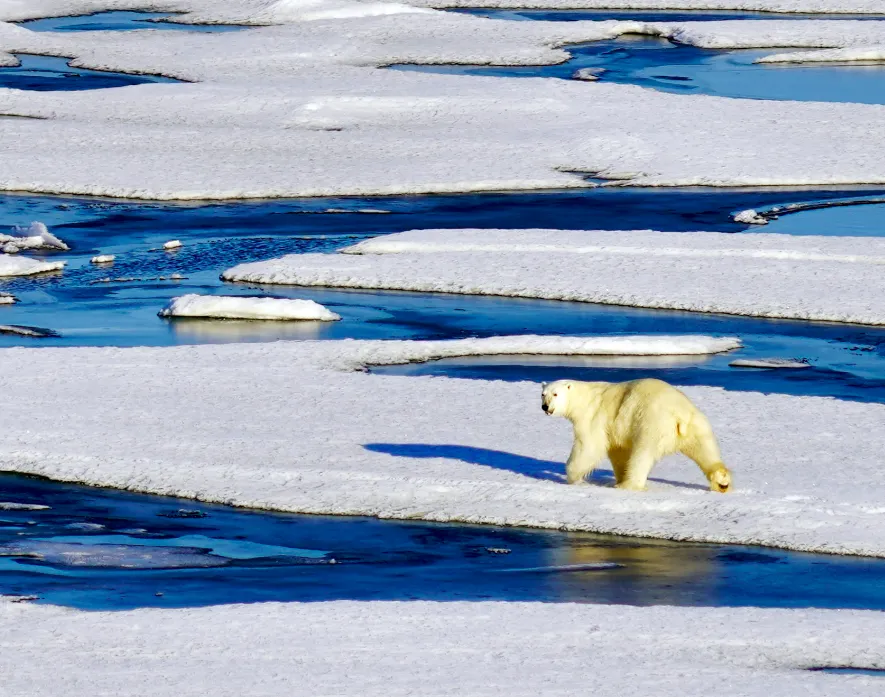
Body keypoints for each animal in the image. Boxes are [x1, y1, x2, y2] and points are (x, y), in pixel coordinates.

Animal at [544, 378, 728, 492]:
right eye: (543, 394)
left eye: (555, 394)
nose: (545, 406)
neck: (583, 398)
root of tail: (679, 414)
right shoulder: (614, 427)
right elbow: (618, 451)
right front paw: (618, 476)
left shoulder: (592, 416)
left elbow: (589, 446)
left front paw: (573, 477)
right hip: (697, 424)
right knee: (706, 449)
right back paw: (722, 481)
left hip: (651, 423)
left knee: (642, 453)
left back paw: (628, 485)